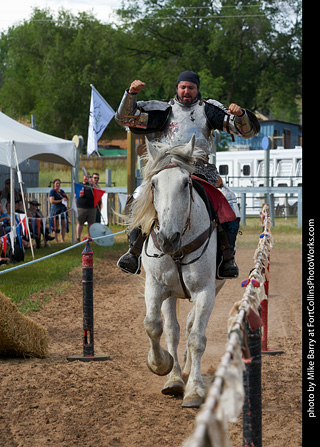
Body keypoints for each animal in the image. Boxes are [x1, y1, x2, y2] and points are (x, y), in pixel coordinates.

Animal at [115, 71, 260, 278]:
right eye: (154, 185)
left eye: (185, 184)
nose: (168, 238)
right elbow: (133, 116)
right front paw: (134, 88)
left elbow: (235, 125)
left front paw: (237, 111)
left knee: (229, 199)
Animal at [130, 136, 225, 410]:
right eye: (153, 184)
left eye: (186, 183)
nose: (167, 239)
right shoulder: (156, 287)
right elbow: (155, 326)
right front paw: (163, 367)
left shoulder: (205, 291)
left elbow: (196, 339)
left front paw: (194, 390)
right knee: (173, 329)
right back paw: (175, 375)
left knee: (193, 326)